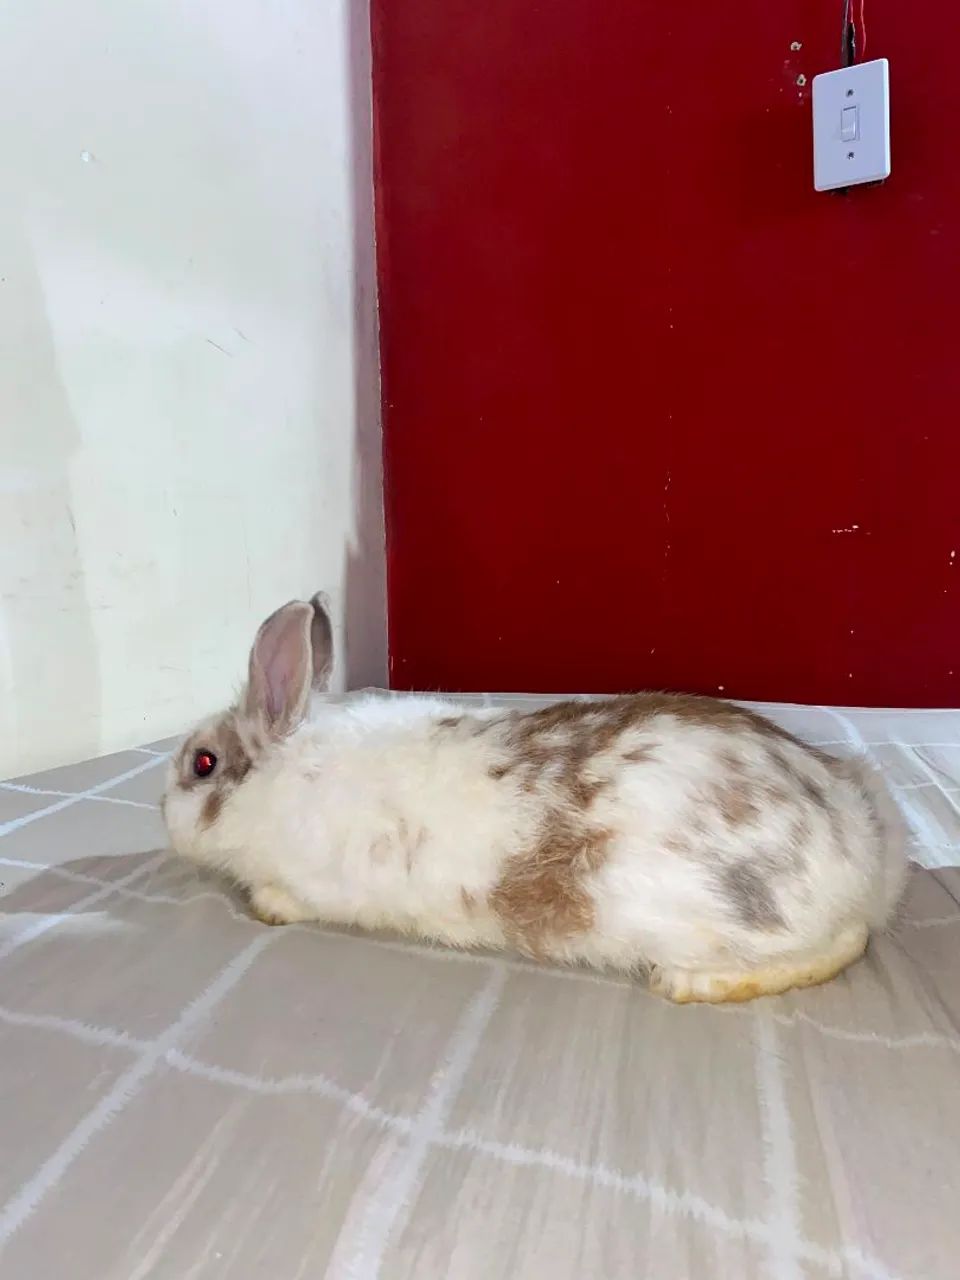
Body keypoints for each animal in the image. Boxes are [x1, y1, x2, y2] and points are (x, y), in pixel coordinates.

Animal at [162, 595, 908, 1003]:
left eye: (202, 763)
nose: (161, 814)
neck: (279, 775)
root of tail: (864, 842)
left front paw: (265, 906)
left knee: (844, 942)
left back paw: (685, 983)